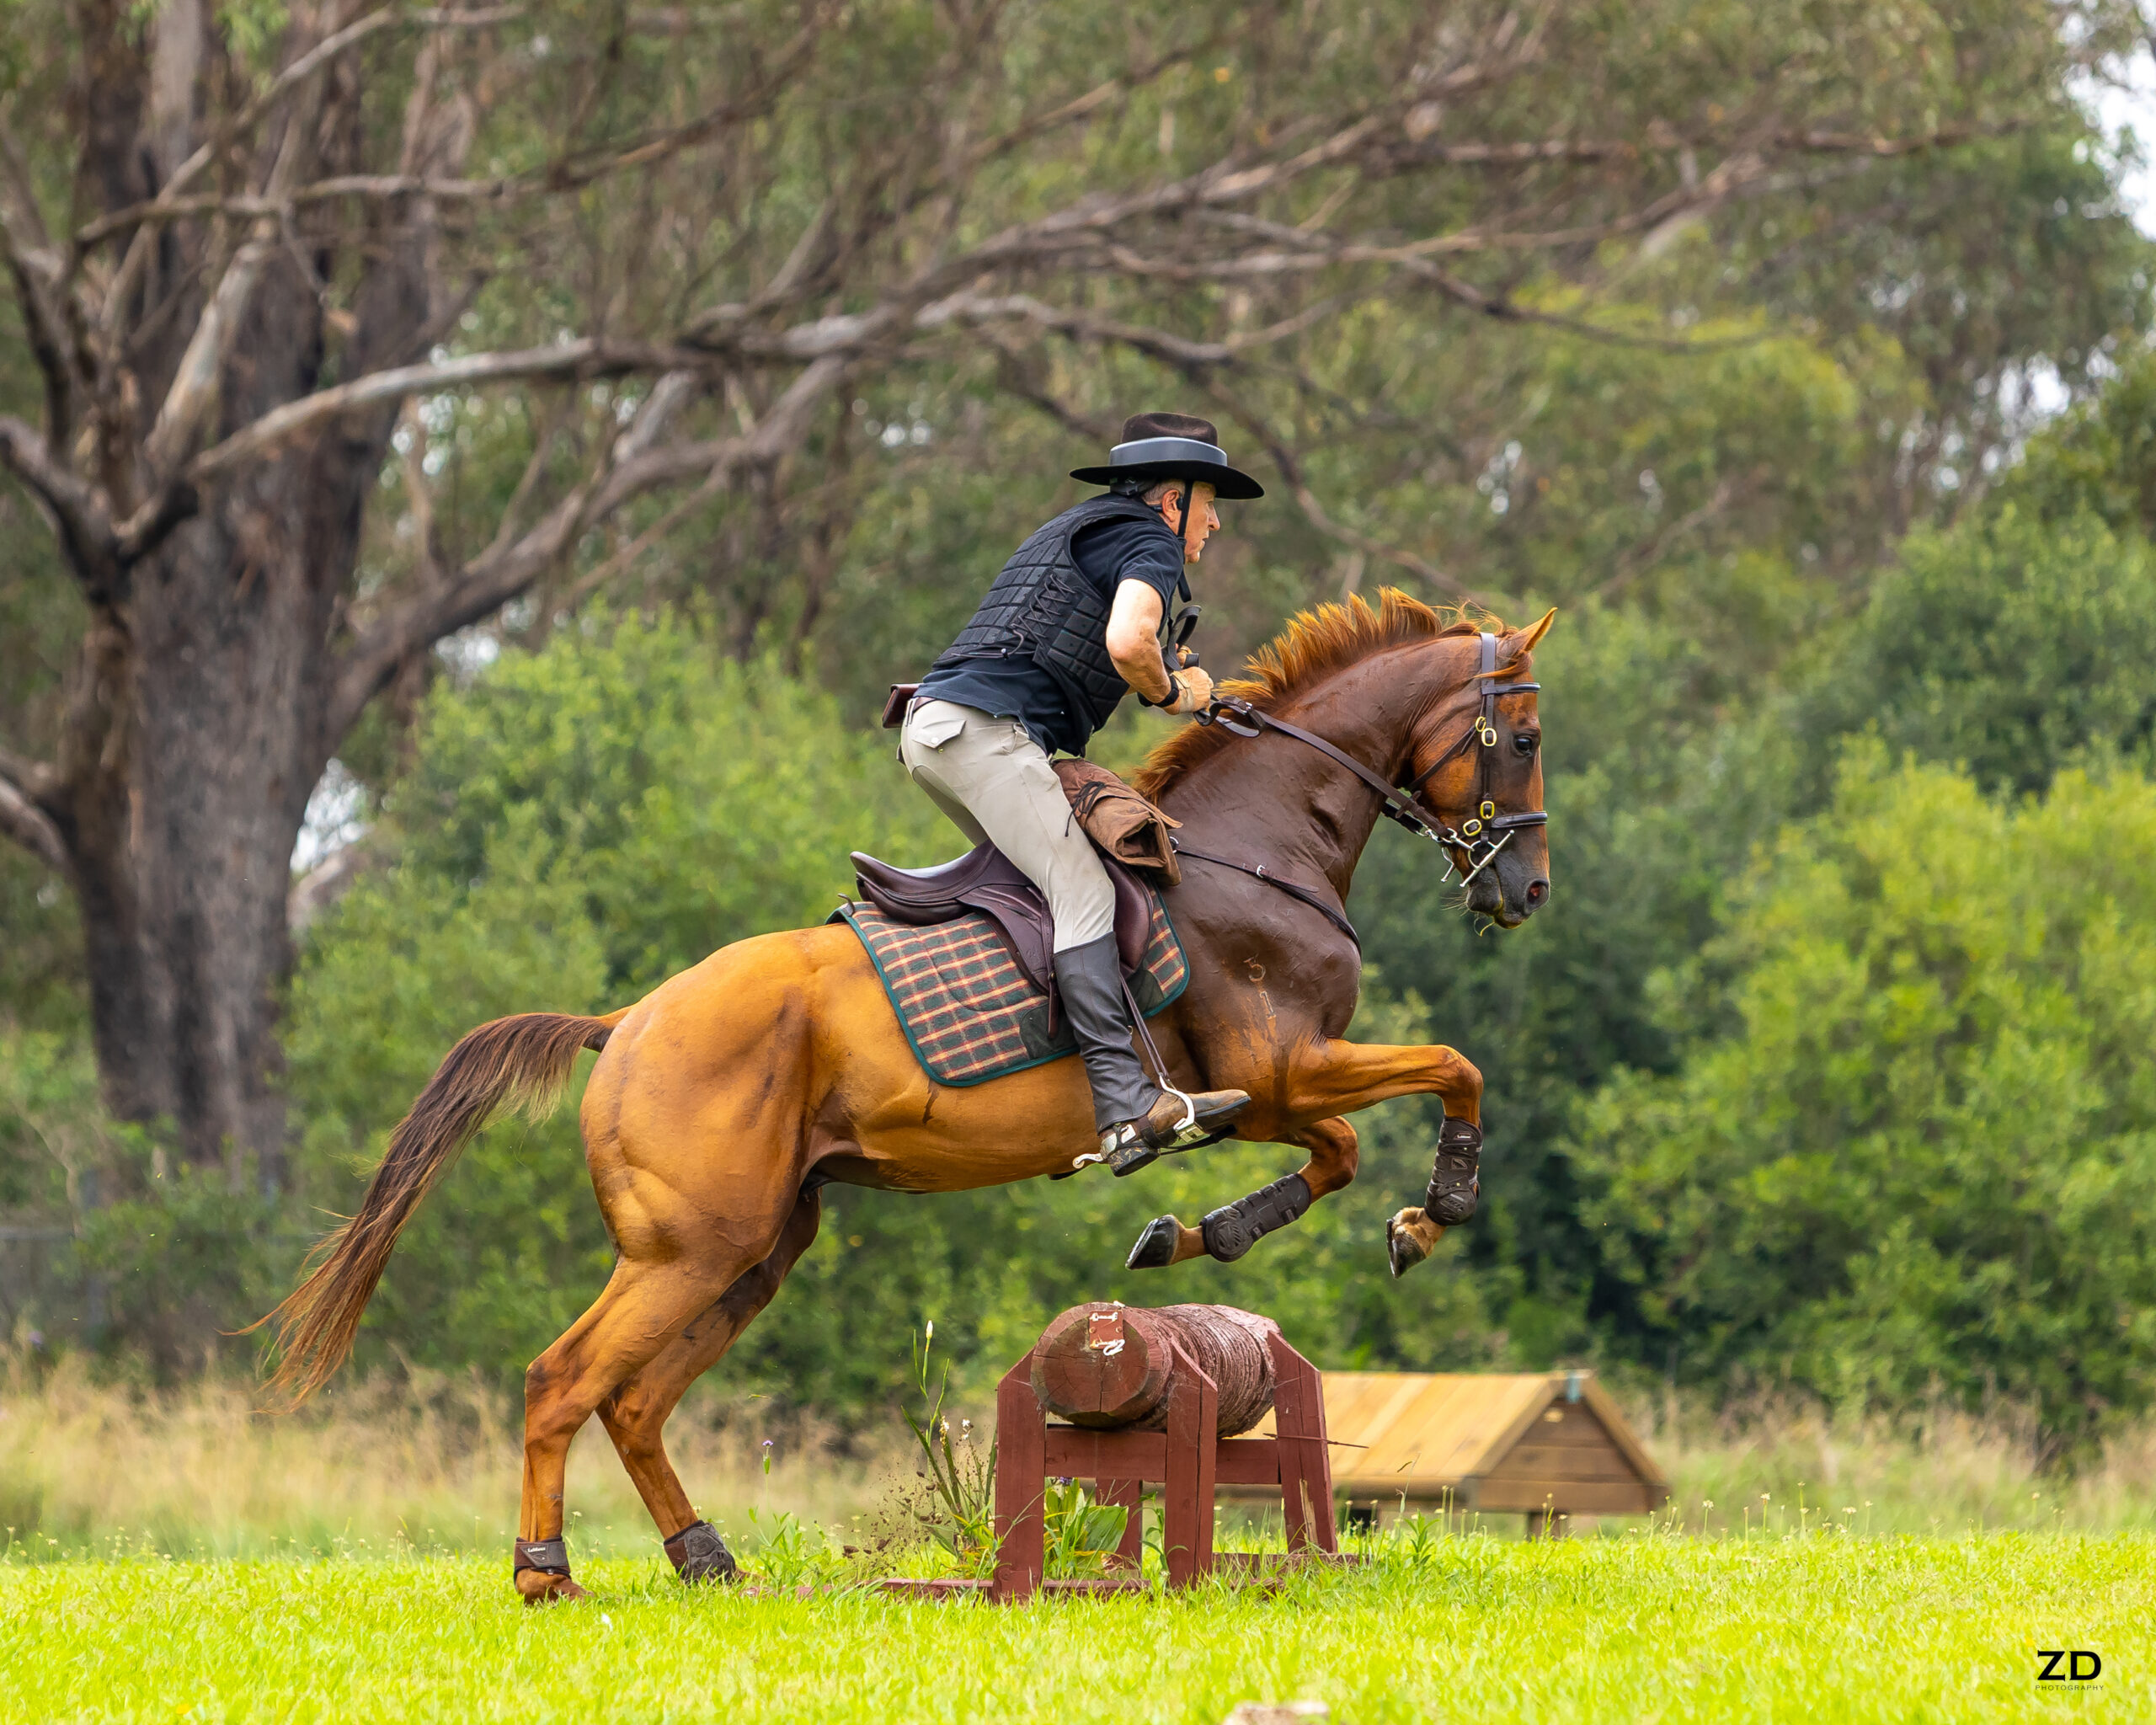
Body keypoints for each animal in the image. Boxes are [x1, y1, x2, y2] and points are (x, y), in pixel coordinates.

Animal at [258, 588, 1553, 1599]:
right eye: (1526, 736)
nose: (1526, 890)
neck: (1258, 843)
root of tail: (623, 1024)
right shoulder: (1280, 1069)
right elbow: (1450, 1070)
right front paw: (1438, 1206)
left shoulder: (1279, 1087)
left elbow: (1337, 1153)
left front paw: (1206, 1229)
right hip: (689, 1246)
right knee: (564, 1379)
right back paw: (546, 1571)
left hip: (753, 1249)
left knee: (634, 1401)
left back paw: (706, 1558)